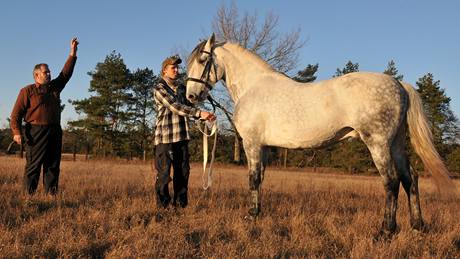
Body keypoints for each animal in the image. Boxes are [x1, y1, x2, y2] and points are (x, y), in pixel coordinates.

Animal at [185, 34, 454, 240]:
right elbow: (260, 179)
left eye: (203, 60)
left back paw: (385, 231)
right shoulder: (264, 146)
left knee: (391, 181)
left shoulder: (252, 143)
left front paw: (251, 216)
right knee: (410, 179)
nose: (191, 96)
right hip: (396, 143)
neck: (253, 87)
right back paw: (418, 227)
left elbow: (252, 179)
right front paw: (258, 213)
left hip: (378, 143)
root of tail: (398, 85)